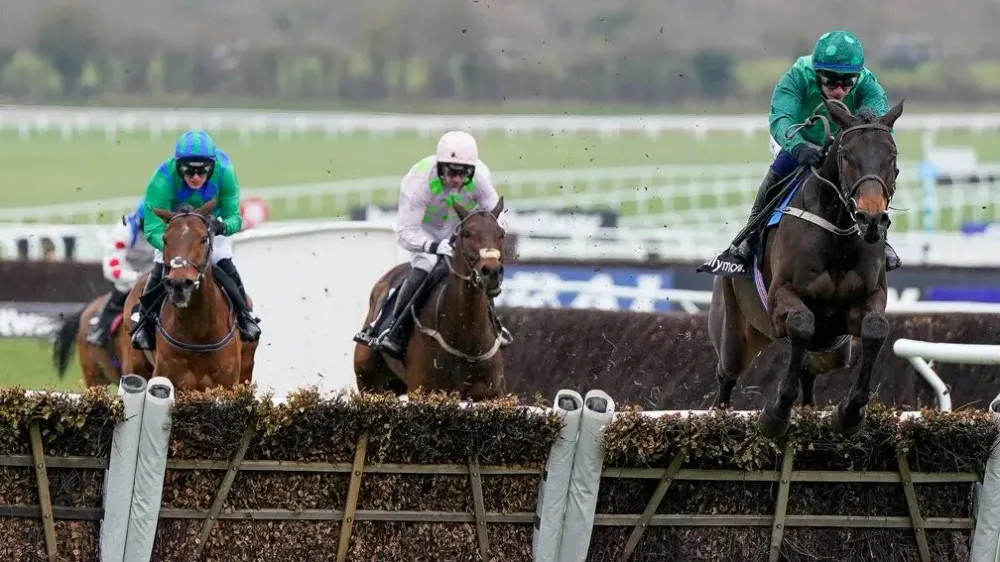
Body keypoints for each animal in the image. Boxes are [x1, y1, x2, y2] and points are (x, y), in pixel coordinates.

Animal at [354, 197, 508, 401]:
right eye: (466, 233)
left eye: (501, 233)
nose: (491, 272)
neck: (467, 341)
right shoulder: (423, 391)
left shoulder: (493, 393)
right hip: (368, 383)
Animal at [708, 98, 905, 439]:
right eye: (846, 154)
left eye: (891, 154)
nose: (871, 219)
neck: (837, 233)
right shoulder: (780, 298)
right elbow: (801, 323)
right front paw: (776, 414)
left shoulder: (866, 300)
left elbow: (876, 329)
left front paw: (850, 412)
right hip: (734, 332)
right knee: (726, 378)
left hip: (833, 351)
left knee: (809, 371)